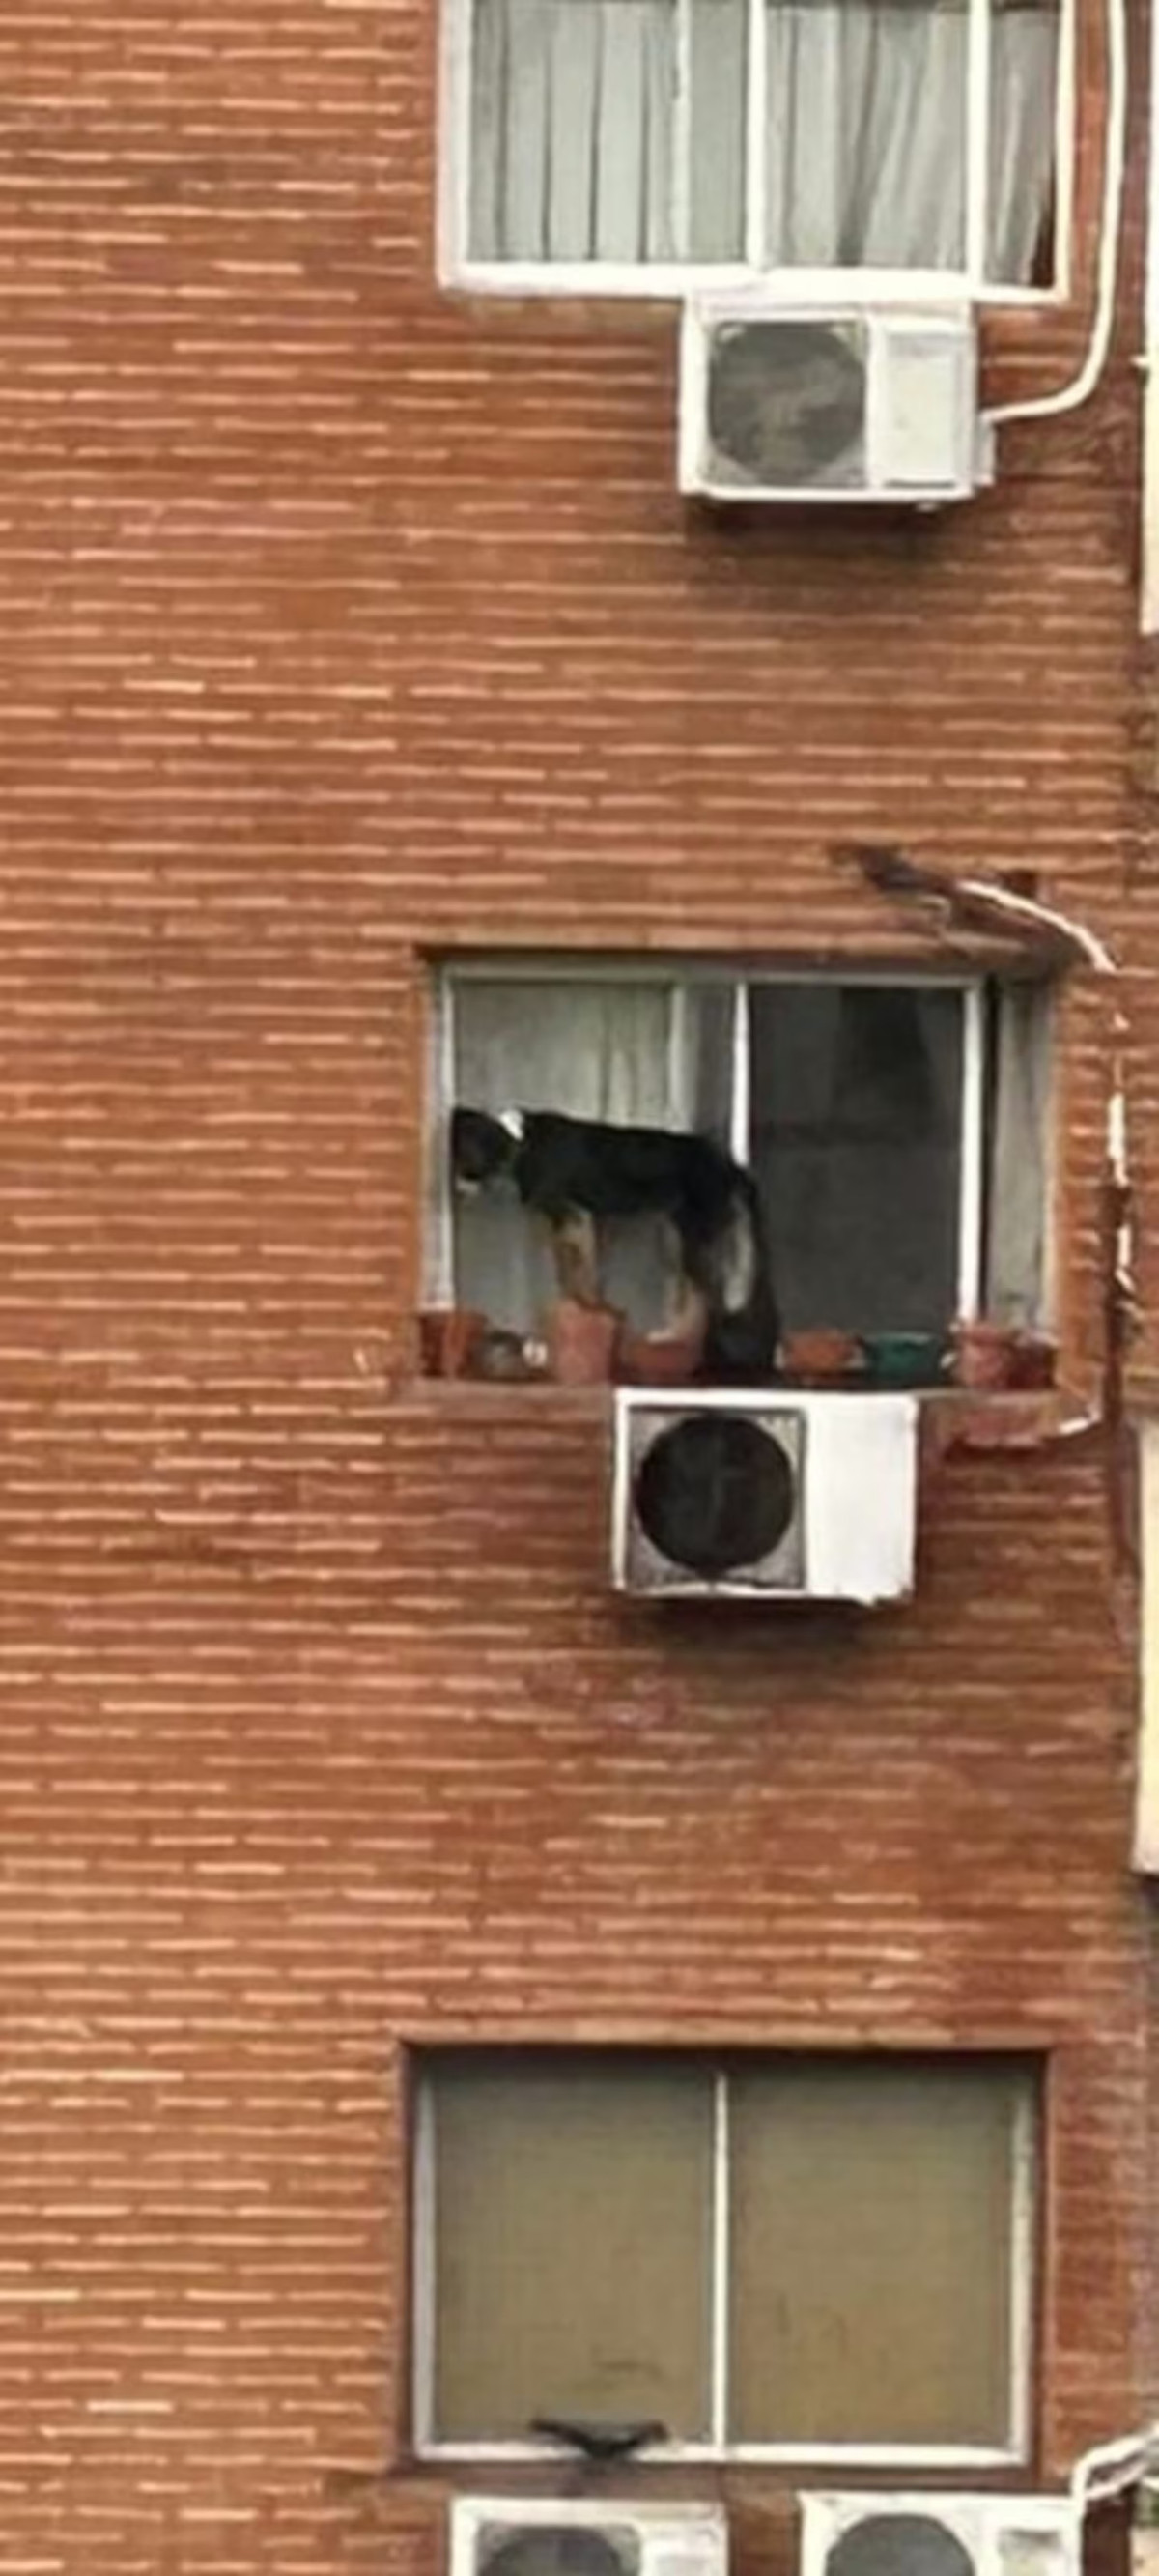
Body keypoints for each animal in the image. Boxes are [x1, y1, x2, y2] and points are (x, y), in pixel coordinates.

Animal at [453, 1107, 777, 1390]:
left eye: (465, 1154)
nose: (456, 1189)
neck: (522, 1142)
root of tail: (731, 1164)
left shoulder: (578, 1218)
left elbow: (584, 1279)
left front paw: (588, 1310)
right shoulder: (569, 1226)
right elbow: (571, 1277)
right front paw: (579, 1308)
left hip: (694, 1239)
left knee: (707, 1298)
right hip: (676, 1235)